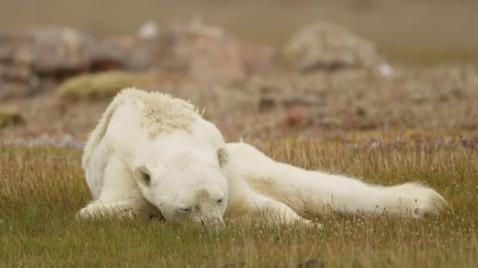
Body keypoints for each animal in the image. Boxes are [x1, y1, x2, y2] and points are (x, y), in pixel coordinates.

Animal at [78, 88, 448, 226]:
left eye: (219, 199)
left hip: (248, 156)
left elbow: (263, 204)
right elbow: (101, 211)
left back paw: (426, 202)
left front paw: (307, 225)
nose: (215, 226)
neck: (164, 130)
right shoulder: (123, 170)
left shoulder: (225, 169)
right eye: (186, 207)